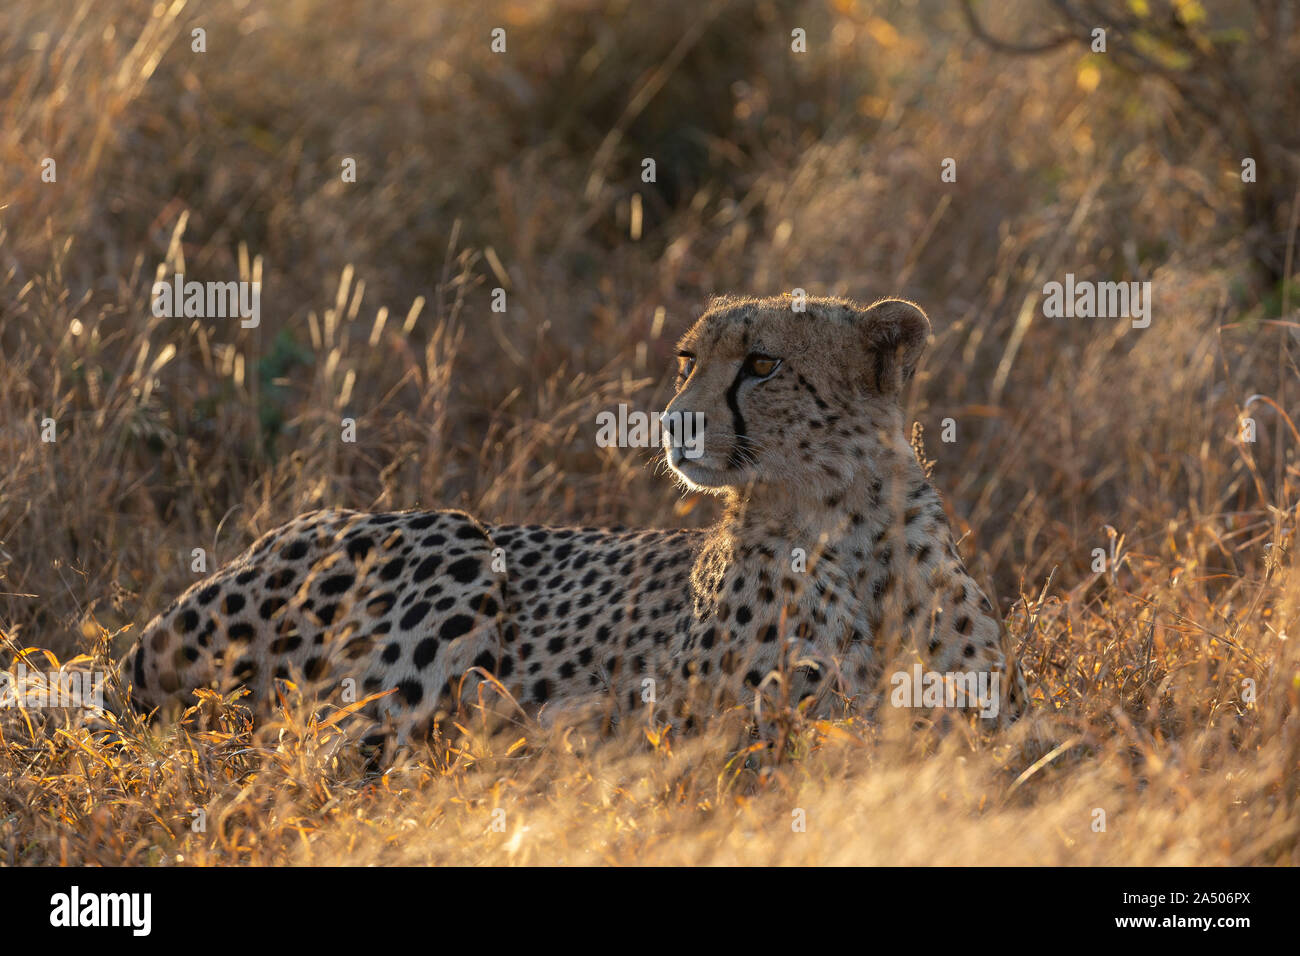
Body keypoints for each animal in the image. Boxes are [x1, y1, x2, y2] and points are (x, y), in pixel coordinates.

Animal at [126, 295, 1029, 743]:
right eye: (688, 359)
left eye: (764, 364)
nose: (675, 422)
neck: (848, 522)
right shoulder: (713, 730)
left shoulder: (992, 728)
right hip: (455, 538)